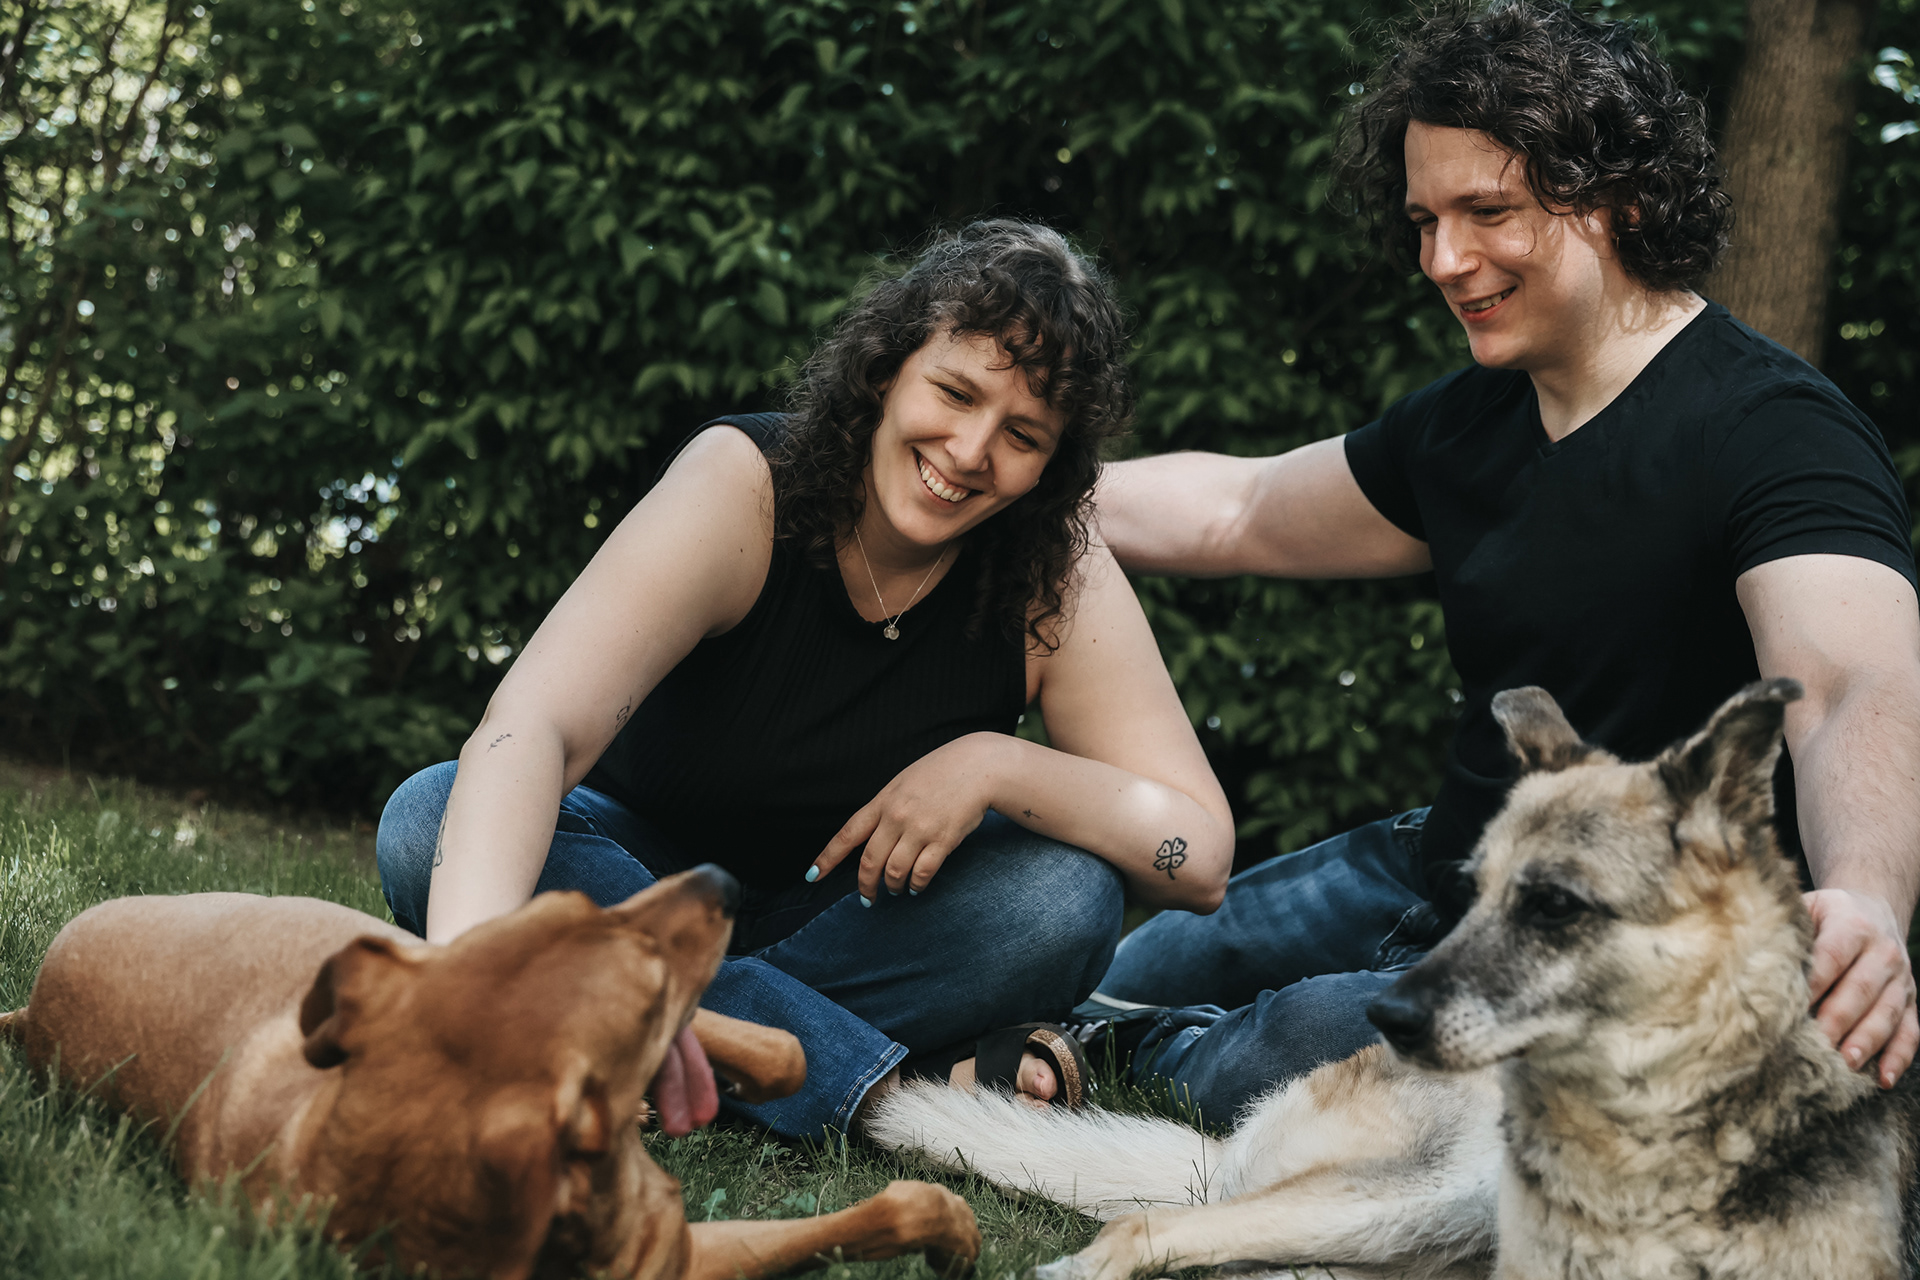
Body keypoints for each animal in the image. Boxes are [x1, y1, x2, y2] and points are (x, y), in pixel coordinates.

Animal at [0, 867, 981, 1280]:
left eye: (572, 901)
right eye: (643, 991)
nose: (722, 877)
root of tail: (31, 1006)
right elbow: (890, 1208)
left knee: (780, 1049)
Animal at [866, 679, 1920, 1279]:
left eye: (1555, 907)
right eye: (1473, 892)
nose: (1389, 1013)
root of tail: (1233, 1147)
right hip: (1432, 1197)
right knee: (1147, 1236)